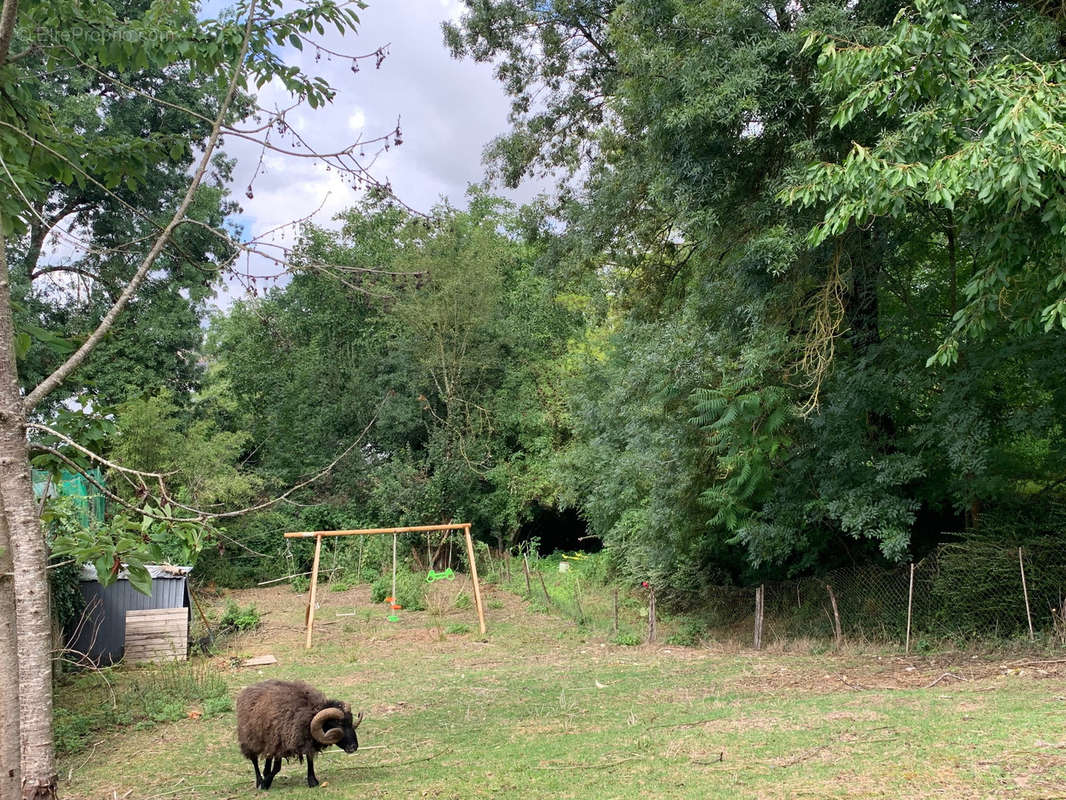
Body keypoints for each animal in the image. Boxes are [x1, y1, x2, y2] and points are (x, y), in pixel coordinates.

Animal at [235, 678, 364, 793]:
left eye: (350, 722)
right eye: (339, 724)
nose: (353, 747)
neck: (309, 715)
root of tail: (249, 688)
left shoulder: (306, 739)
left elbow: (310, 759)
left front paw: (312, 781)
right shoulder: (280, 744)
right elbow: (277, 767)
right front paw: (265, 784)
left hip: (269, 739)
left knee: (268, 756)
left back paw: (265, 773)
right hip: (249, 737)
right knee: (254, 759)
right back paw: (259, 781)